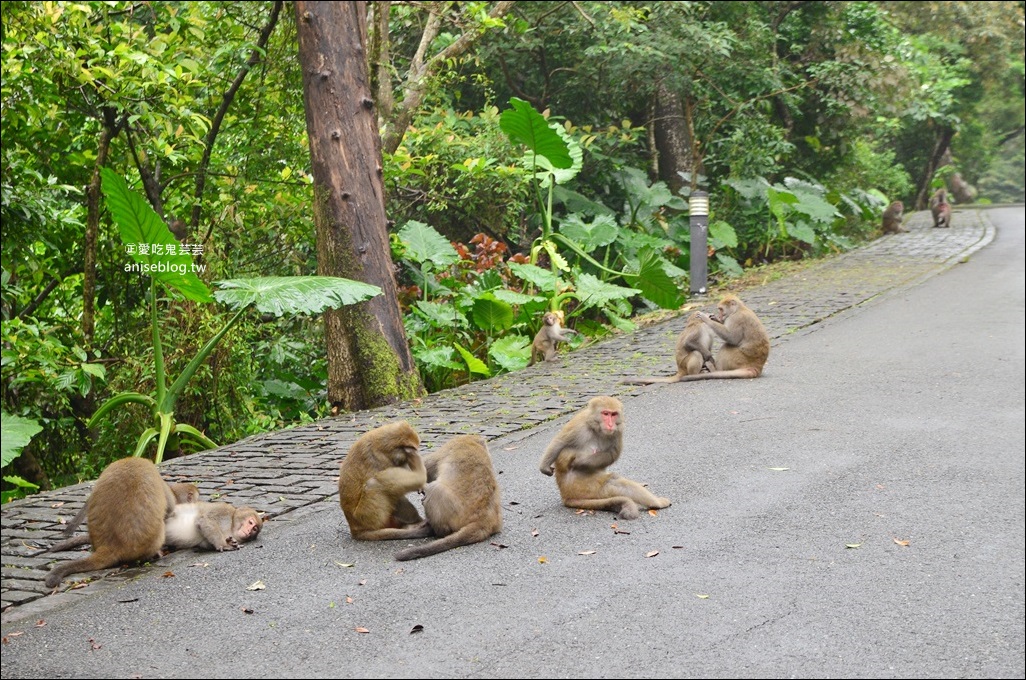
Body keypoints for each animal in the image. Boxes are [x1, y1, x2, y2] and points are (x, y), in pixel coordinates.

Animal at [537, 395, 673, 518]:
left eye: (614, 414)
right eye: (605, 413)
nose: (610, 424)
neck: (596, 428)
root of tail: (565, 495)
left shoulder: (618, 431)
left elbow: (612, 454)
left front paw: (580, 461)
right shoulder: (578, 424)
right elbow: (559, 442)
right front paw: (545, 467)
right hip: (583, 487)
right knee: (613, 481)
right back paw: (657, 503)